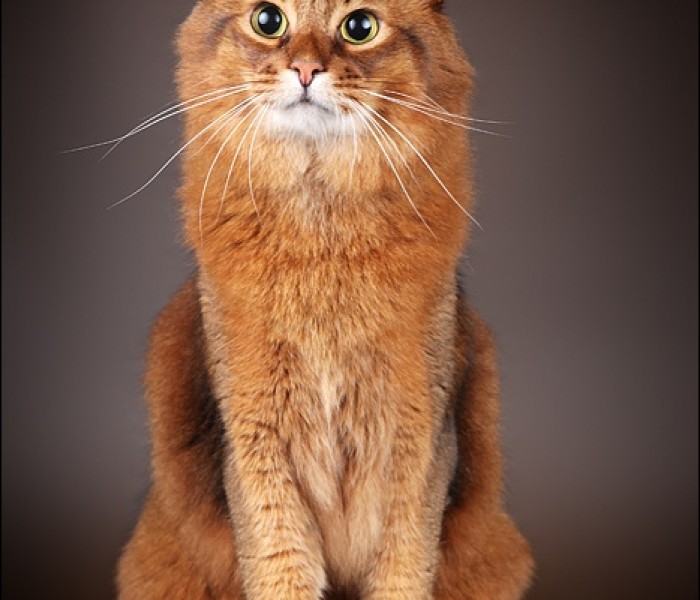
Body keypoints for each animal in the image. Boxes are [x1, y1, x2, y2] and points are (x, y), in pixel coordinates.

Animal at [116, 1, 532, 600]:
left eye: (359, 27)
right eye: (268, 20)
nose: (307, 70)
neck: (321, 245)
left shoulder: (419, 438)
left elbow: (404, 568)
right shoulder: (255, 441)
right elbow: (280, 567)